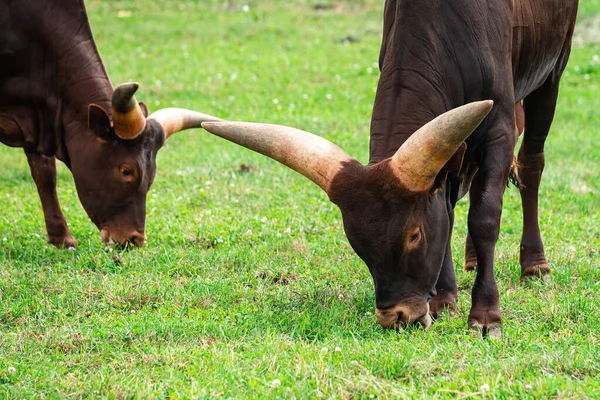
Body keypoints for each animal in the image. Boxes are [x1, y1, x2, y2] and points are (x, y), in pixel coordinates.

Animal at [0, 0, 220, 248]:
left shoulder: (39, 123)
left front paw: (62, 238)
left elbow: (45, 174)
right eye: (126, 170)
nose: (134, 239)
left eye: (152, 174)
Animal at [203, 0, 580, 338]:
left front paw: (486, 316)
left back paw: (534, 265)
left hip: (553, 71)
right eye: (355, 240)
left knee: (531, 164)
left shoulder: (498, 128)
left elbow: (485, 218)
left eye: (414, 235)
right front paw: (444, 299)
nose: (395, 316)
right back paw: (472, 258)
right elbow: (446, 211)